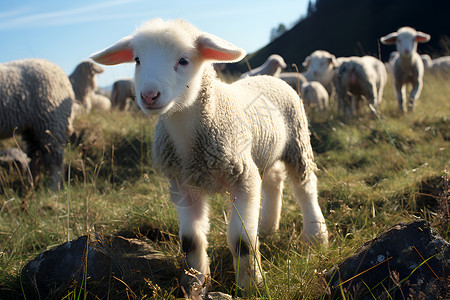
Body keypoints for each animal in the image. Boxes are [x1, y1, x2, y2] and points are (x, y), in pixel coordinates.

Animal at [0, 59, 74, 190]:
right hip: (32, 128)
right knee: (35, 156)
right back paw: (32, 185)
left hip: (50, 121)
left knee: (55, 159)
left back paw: (53, 188)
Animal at [91, 17, 328, 296]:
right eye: (138, 60)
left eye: (183, 60)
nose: (149, 96)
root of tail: (270, 78)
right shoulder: (183, 186)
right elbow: (190, 241)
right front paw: (195, 284)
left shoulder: (243, 179)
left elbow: (241, 241)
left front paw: (251, 285)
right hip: (263, 152)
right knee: (273, 180)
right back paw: (268, 227)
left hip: (297, 142)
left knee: (305, 187)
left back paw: (315, 235)